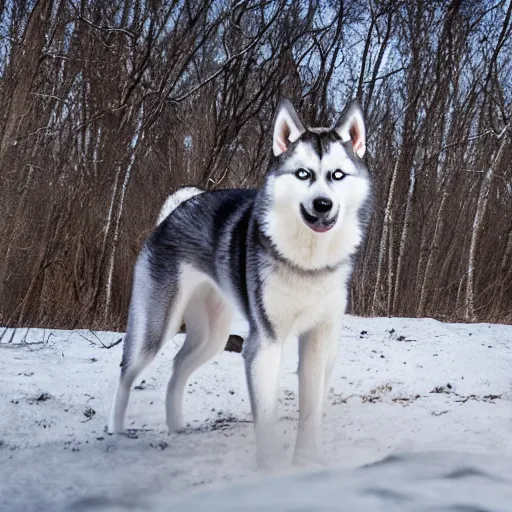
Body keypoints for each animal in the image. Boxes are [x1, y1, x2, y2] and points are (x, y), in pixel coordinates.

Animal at [109, 99, 372, 468]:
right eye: (303, 174)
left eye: (337, 175)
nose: (323, 204)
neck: (309, 262)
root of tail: (173, 214)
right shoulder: (265, 343)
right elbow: (266, 415)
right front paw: (271, 467)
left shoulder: (320, 339)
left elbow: (310, 410)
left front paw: (307, 461)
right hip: (156, 325)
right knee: (126, 372)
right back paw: (115, 432)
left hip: (213, 335)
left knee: (178, 366)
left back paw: (176, 426)